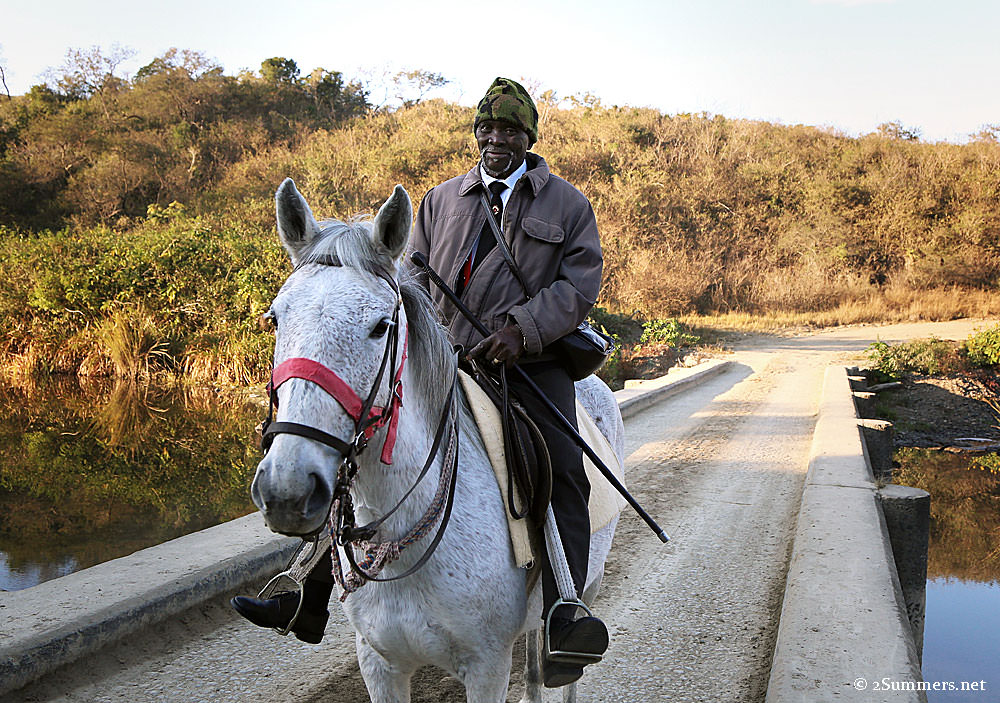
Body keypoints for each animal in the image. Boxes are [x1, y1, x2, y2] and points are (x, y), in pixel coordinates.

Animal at [250, 178, 624, 703]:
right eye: (275, 318)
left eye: (381, 326)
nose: (287, 490)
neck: (402, 533)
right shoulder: (380, 665)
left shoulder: (486, 667)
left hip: (588, 584)